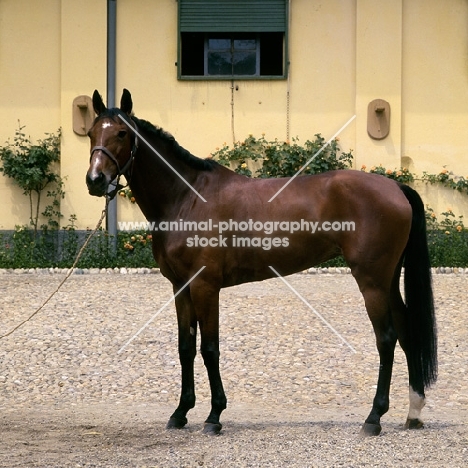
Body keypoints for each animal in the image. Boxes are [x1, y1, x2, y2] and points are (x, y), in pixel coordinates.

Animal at [86, 89, 436, 436]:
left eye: (122, 133)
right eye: (91, 132)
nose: (95, 180)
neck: (187, 199)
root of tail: (395, 186)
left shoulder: (205, 286)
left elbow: (209, 348)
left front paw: (214, 416)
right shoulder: (180, 287)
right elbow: (186, 347)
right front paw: (181, 412)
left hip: (372, 281)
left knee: (387, 339)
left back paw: (374, 417)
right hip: (388, 280)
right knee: (407, 332)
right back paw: (413, 412)